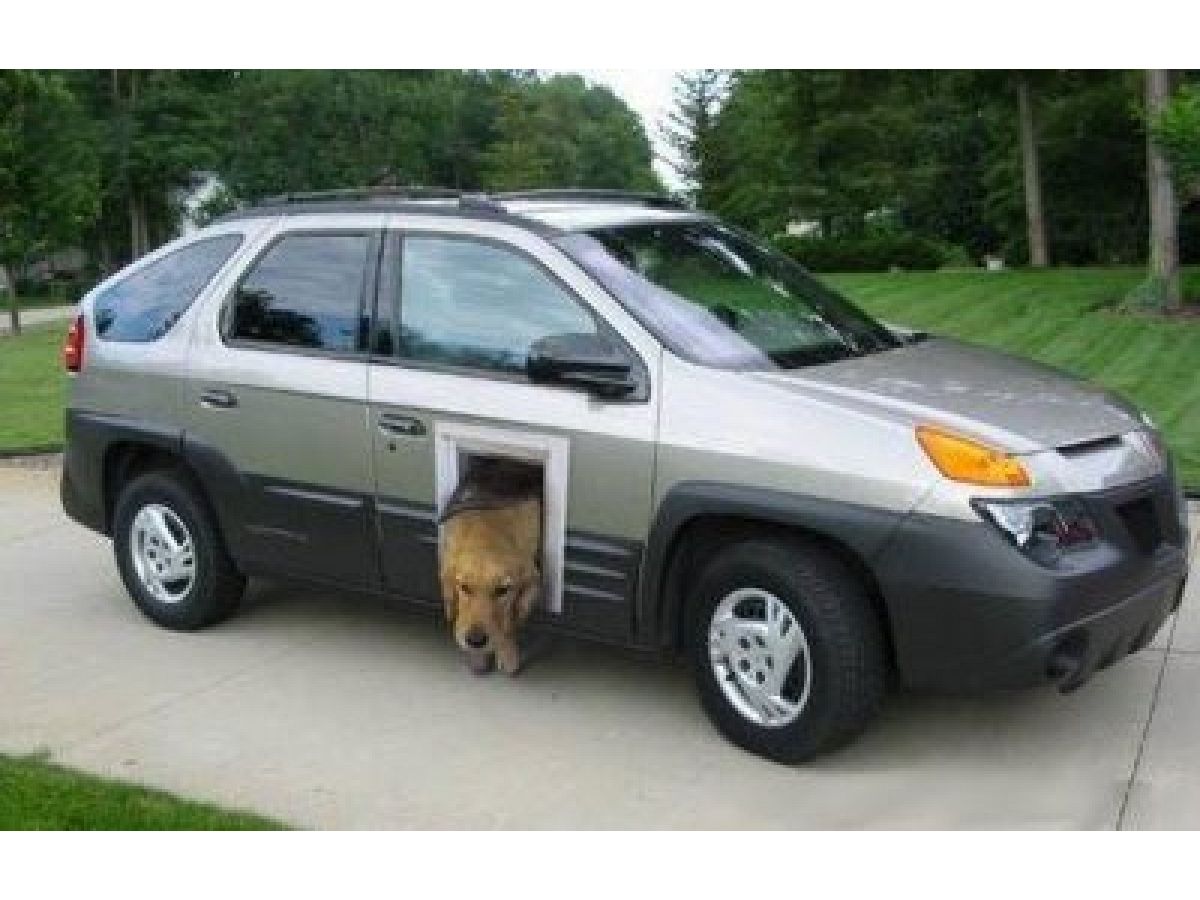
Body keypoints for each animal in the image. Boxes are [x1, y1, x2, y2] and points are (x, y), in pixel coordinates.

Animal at [439, 457, 543, 675]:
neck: (486, 531)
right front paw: (477, 657)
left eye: (502, 590)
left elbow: (511, 619)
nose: (475, 641)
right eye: (464, 587)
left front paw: (507, 653)